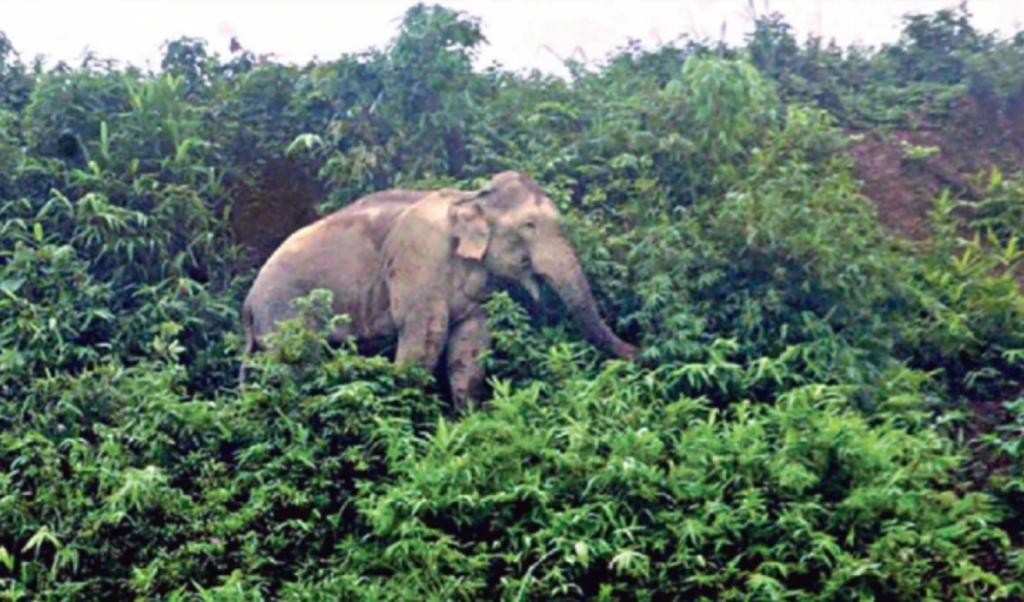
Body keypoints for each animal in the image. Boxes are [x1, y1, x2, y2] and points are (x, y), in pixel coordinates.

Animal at [239, 170, 639, 408]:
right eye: (529, 225)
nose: (641, 352)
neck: (471, 197)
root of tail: (247, 303)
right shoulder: (418, 258)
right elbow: (424, 339)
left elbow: (471, 345)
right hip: (284, 314)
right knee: (294, 369)